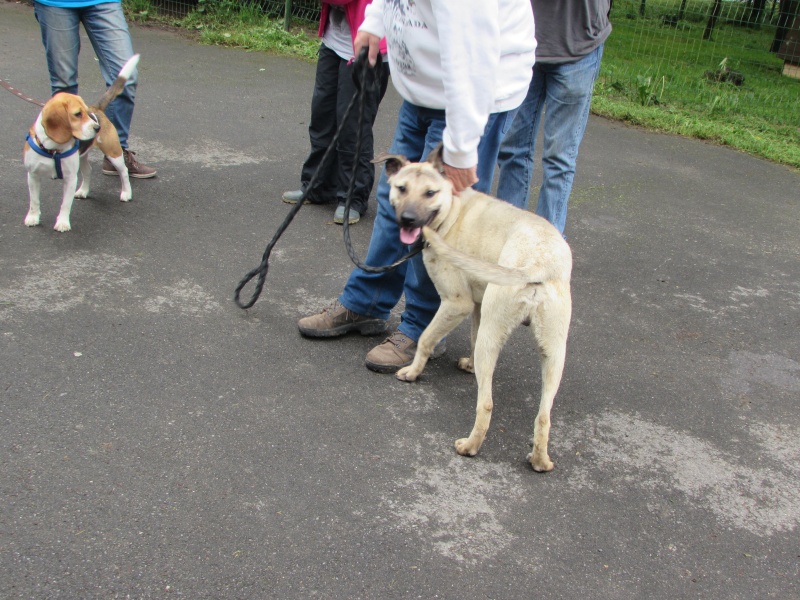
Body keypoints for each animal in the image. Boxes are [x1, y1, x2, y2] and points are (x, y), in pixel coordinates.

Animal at [23, 54, 141, 232]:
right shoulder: (33, 175)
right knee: (88, 171)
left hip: (113, 152)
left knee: (124, 171)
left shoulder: (70, 178)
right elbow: (34, 201)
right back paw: (84, 190)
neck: (53, 148)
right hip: (82, 157)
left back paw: (126, 193)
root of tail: (97, 108)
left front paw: (62, 223)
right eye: (78, 114)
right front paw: (33, 217)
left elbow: (65, 204)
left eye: (87, 114)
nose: (97, 128)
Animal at [378, 146, 572, 474]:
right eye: (401, 188)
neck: (452, 210)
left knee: (486, 404)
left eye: (430, 193)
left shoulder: (456, 303)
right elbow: (471, 334)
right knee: (544, 415)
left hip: (495, 339)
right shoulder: (479, 307)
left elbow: (426, 338)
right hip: (553, 353)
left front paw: (413, 371)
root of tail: (539, 262)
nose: (408, 220)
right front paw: (468, 365)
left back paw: (470, 446)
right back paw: (539, 459)